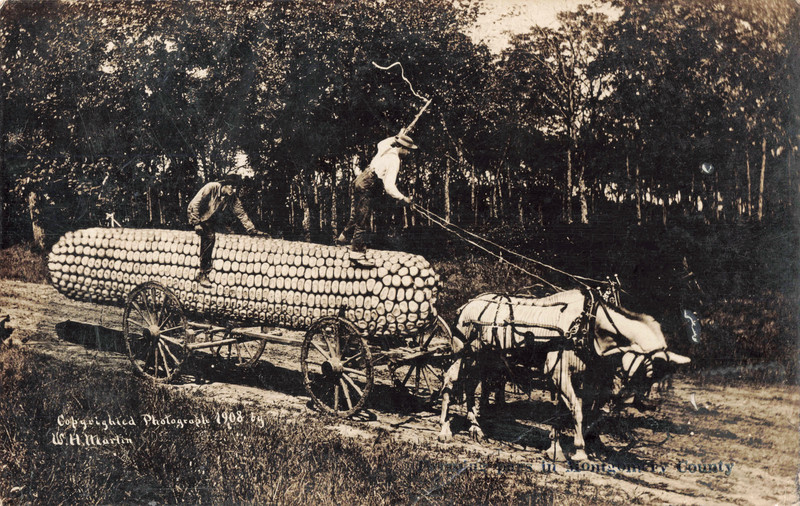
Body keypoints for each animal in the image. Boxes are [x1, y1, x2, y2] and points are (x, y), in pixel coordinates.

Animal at [437, 289, 690, 461]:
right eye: (649, 368)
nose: (651, 404)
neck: (589, 325)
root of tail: (468, 304)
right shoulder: (558, 372)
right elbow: (576, 410)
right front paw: (579, 453)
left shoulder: (581, 378)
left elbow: (571, 412)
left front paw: (556, 449)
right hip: (461, 351)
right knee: (450, 382)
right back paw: (444, 430)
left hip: (482, 358)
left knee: (471, 385)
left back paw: (475, 428)